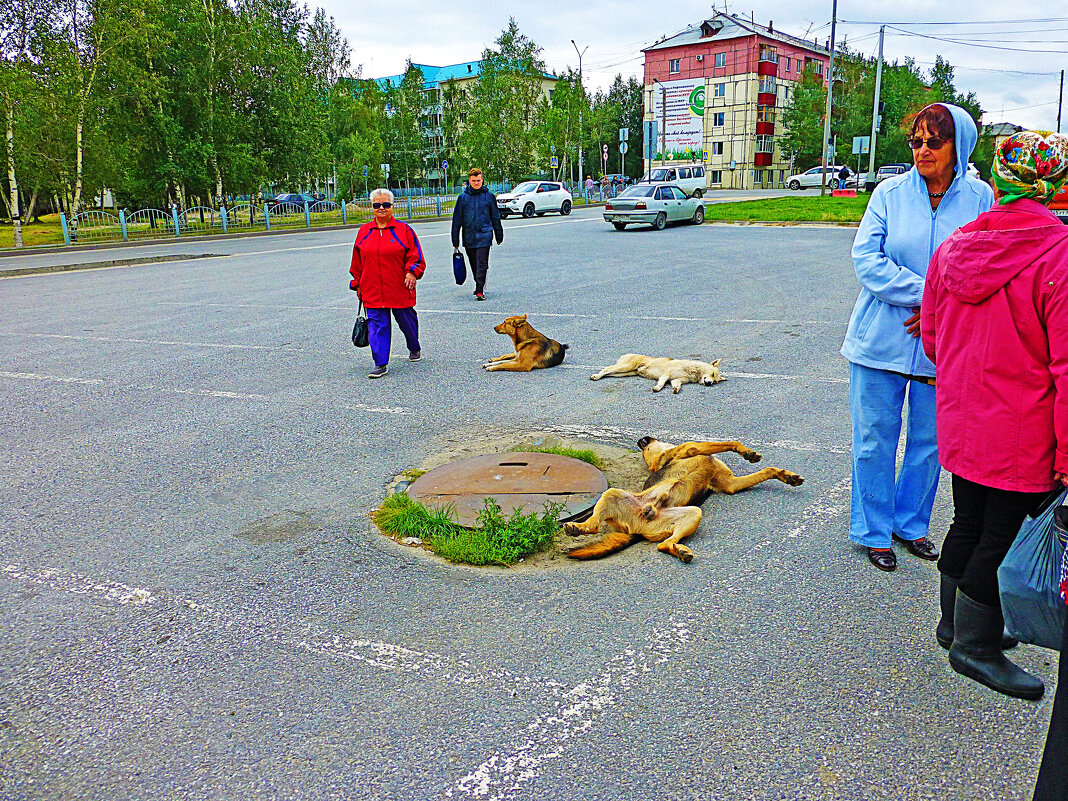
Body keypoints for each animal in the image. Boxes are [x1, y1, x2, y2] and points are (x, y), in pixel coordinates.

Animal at [568, 440, 803, 563]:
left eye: (644, 450)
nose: (642, 440)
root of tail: (636, 528)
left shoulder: (730, 484)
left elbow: (767, 470)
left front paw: (786, 476)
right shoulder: (692, 447)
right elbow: (728, 442)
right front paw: (745, 451)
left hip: (692, 514)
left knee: (663, 544)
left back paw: (680, 550)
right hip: (612, 493)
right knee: (593, 524)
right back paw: (576, 527)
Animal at [593, 356, 726, 395]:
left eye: (715, 381)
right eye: (712, 374)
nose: (709, 383)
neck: (693, 371)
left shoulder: (676, 380)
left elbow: (677, 385)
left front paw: (676, 389)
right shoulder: (666, 375)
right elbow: (661, 383)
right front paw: (656, 388)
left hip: (623, 373)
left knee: (609, 373)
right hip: (625, 367)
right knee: (606, 369)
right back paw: (595, 376)